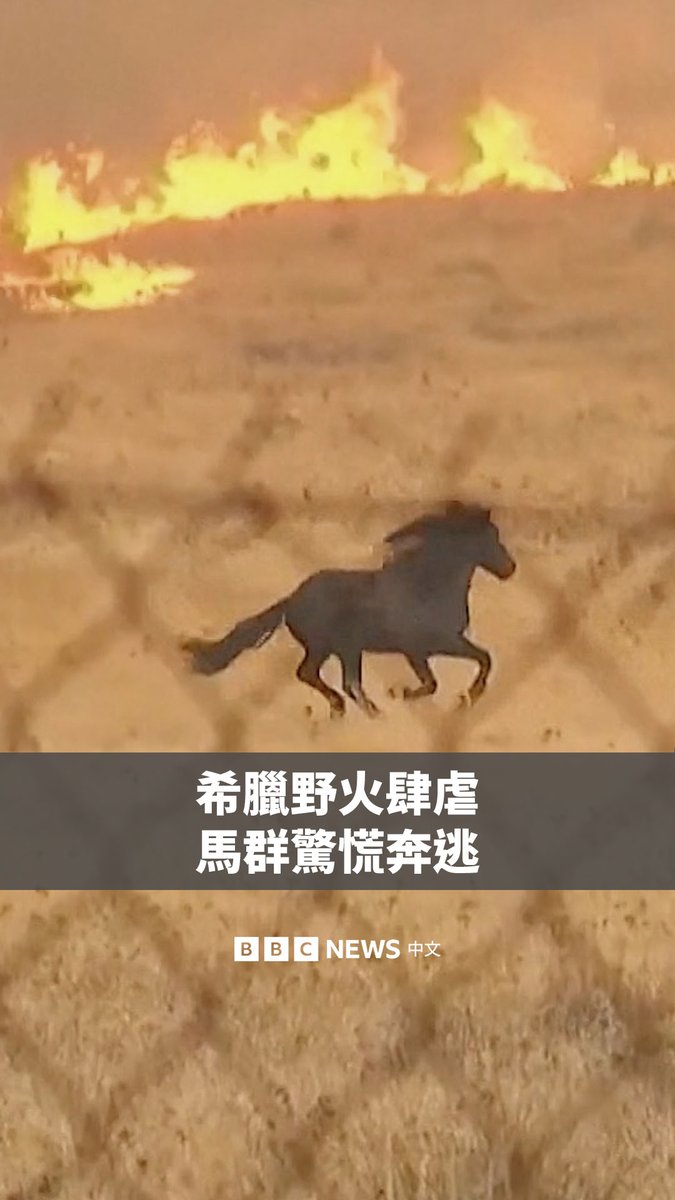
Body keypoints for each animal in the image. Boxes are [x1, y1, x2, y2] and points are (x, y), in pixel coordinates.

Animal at [182, 501, 516, 717]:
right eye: (490, 538)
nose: (510, 569)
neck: (428, 586)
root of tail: (291, 600)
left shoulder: (442, 644)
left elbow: (479, 660)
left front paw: (467, 696)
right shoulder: (420, 648)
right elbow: (441, 679)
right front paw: (408, 694)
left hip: (344, 649)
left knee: (338, 680)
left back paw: (357, 710)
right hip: (332, 647)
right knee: (314, 675)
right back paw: (359, 710)